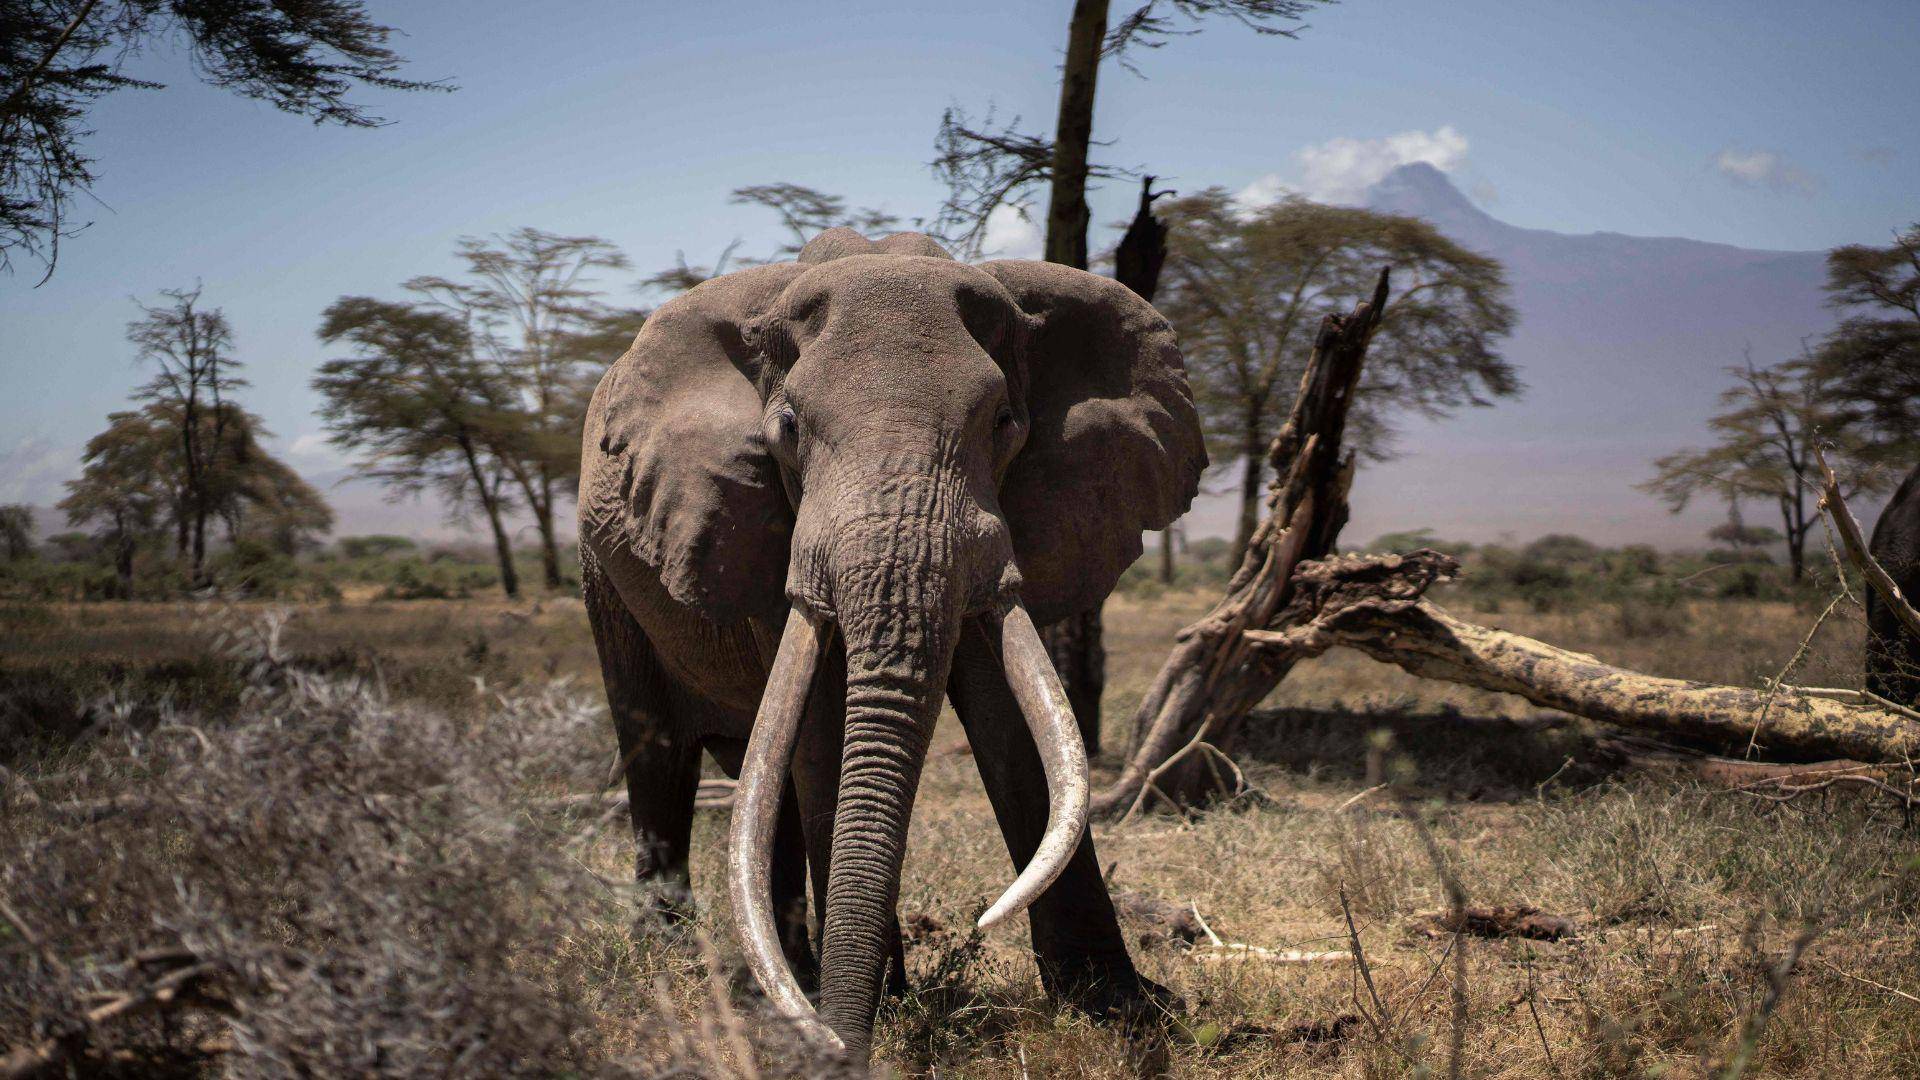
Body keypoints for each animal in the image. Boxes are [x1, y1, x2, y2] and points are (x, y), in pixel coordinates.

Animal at [572, 222, 1198, 1053]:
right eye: (788, 430)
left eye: (1004, 423)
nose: (846, 1046)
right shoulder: (766, 523)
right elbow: (822, 725)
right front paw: (874, 1011)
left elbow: (1015, 719)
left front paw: (1120, 1006)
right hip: (601, 577)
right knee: (659, 754)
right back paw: (680, 957)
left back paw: (790, 975)